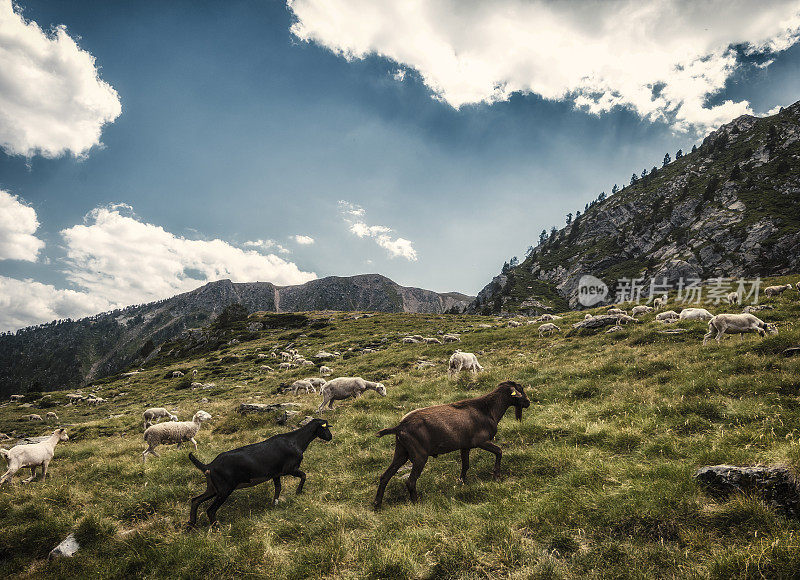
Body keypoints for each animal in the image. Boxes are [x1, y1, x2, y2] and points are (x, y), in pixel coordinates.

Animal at [187, 416, 332, 524]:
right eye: (324, 428)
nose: (330, 437)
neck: (296, 441)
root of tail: (209, 466)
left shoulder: (276, 473)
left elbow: (278, 488)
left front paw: (275, 504)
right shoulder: (289, 469)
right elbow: (304, 475)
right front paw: (298, 492)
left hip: (213, 487)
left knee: (195, 501)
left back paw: (191, 525)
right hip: (224, 489)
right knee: (210, 510)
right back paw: (217, 527)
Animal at [374, 382, 532, 510]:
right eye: (520, 390)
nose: (528, 402)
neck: (487, 410)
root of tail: (399, 427)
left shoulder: (465, 446)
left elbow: (465, 465)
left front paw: (461, 483)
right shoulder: (481, 441)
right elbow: (499, 451)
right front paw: (496, 476)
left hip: (401, 452)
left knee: (384, 476)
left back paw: (377, 504)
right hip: (419, 455)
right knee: (410, 481)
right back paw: (416, 503)